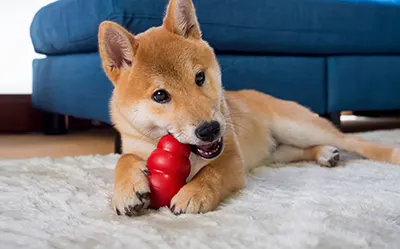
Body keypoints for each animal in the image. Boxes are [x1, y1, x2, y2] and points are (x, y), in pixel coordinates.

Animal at [97, 0, 400, 216]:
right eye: (160, 95)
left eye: (199, 77)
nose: (210, 130)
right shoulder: (133, 145)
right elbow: (123, 160)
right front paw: (127, 190)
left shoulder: (232, 158)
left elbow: (211, 173)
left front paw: (193, 193)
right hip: (278, 151)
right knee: (304, 150)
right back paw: (325, 154)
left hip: (298, 127)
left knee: (353, 141)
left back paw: (387, 153)